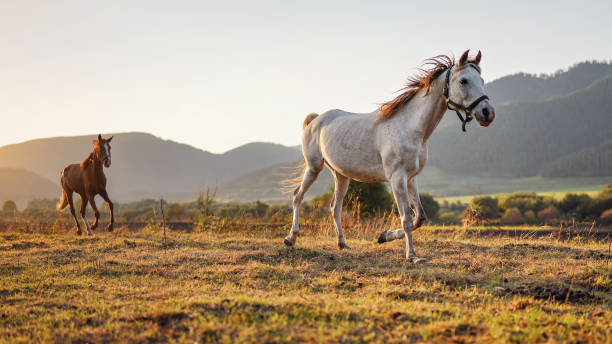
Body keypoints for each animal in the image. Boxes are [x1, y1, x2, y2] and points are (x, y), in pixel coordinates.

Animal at [284, 49, 494, 262]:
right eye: (464, 81)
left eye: (482, 80)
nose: (487, 113)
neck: (410, 126)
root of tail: (316, 119)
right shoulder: (397, 178)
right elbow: (407, 219)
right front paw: (412, 256)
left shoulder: (411, 178)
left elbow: (420, 217)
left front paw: (384, 236)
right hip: (314, 167)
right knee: (297, 196)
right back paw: (291, 239)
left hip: (341, 175)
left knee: (335, 207)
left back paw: (342, 244)